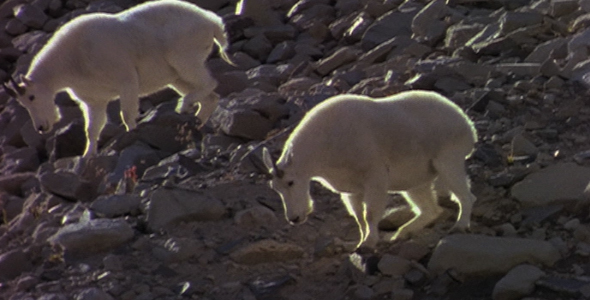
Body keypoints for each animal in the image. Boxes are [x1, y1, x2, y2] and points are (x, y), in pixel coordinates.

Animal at [2, 0, 234, 158]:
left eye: (31, 97)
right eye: (23, 104)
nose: (42, 127)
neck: (72, 59)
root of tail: (212, 23)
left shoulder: (127, 81)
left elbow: (127, 114)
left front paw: (132, 135)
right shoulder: (94, 100)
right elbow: (92, 129)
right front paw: (87, 157)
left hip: (184, 58)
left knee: (209, 83)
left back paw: (184, 106)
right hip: (176, 76)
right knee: (209, 96)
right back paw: (196, 122)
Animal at [264, 90, 480, 250]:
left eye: (291, 182)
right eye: (275, 188)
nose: (294, 218)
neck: (323, 145)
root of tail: (467, 123)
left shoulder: (374, 176)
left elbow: (370, 213)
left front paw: (369, 243)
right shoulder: (351, 188)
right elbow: (359, 217)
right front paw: (360, 242)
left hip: (448, 159)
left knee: (465, 195)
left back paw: (460, 226)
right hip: (415, 180)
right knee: (430, 209)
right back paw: (400, 234)